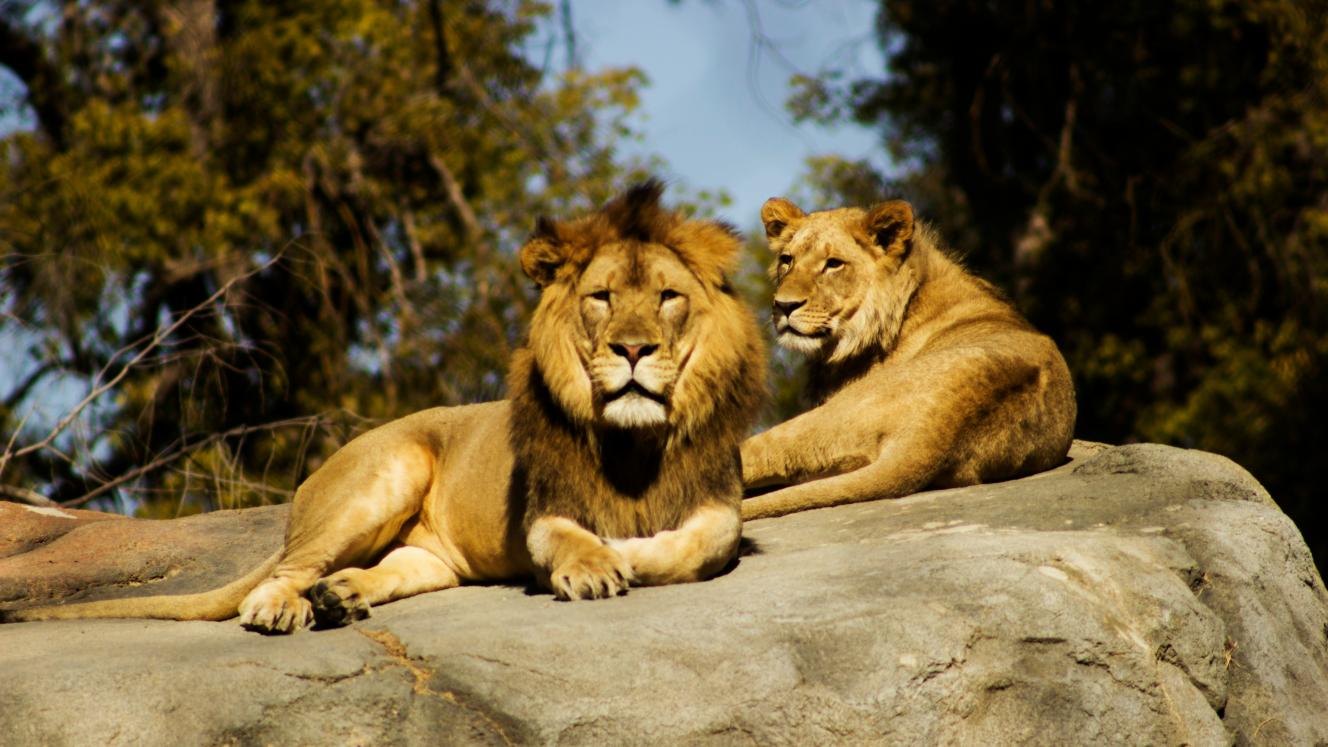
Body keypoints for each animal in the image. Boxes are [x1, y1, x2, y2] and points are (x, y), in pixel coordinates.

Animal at [1, 181, 765, 633]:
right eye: (602, 297)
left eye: (668, 297)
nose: (633, 348)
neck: (636, 440)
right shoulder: (545, 508)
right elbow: (569, 536)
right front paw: (598, 561)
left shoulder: (719, 502)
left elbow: (701, 543)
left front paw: (630, 550)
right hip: (384, 476)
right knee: (279, 574)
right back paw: (283, 607)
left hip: (430, 556)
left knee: (389, 567)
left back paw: (340, 596)